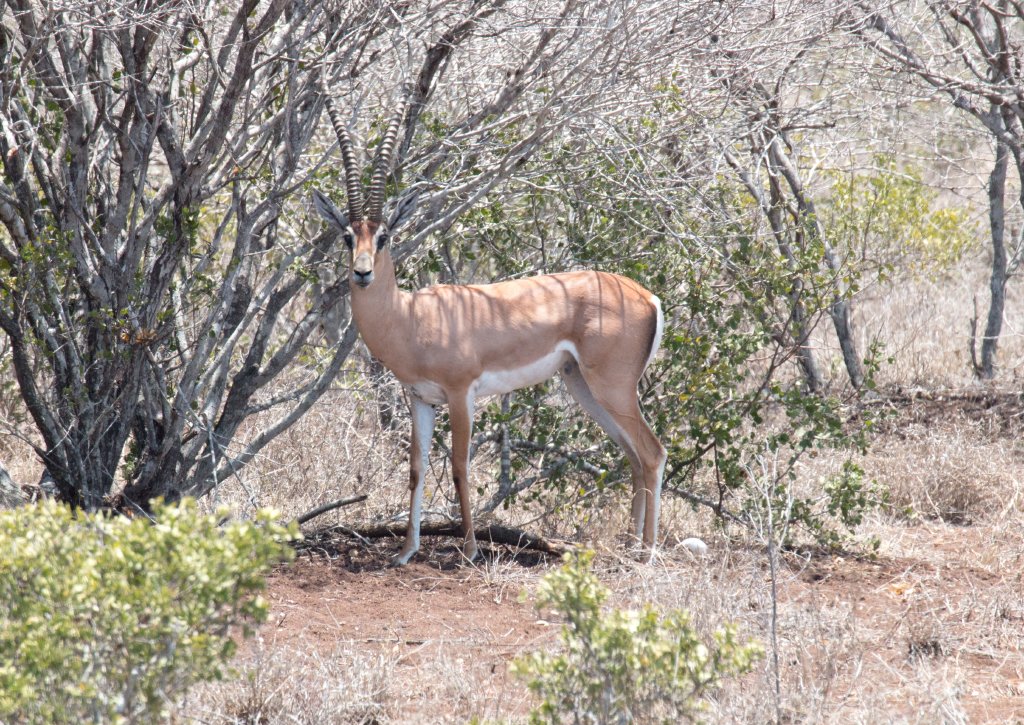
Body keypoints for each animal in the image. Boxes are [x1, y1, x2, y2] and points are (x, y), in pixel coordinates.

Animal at [313, 97, 667, 565]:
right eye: (347, 236)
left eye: (385, 235)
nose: (362, 273)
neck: (411, 317)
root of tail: (647, 297)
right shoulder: (421, 399)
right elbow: (416, 468)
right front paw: (405, 552)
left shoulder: (461, 394)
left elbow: (460, 467)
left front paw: (469, 549)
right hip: (586, 388)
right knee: (633, 456)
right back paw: (627, 548)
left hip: (612, 387)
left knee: (652, 452)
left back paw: (646, 555)